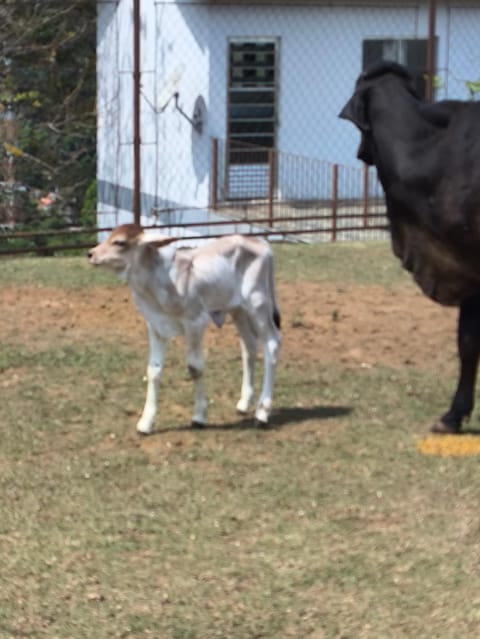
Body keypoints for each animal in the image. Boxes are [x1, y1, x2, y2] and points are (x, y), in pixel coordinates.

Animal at [88, 225, 282, 436]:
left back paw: (262, 413)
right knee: (249, 346)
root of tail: (261, 243)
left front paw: (198, 417)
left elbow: (195, 368)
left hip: (258, 305)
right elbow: (153, 371)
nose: (90, 253)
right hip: (238, 310)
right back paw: (244, 404)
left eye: (120, 242)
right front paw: (146, 423)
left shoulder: (195, 322)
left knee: (271, 345)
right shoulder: (156, 327)